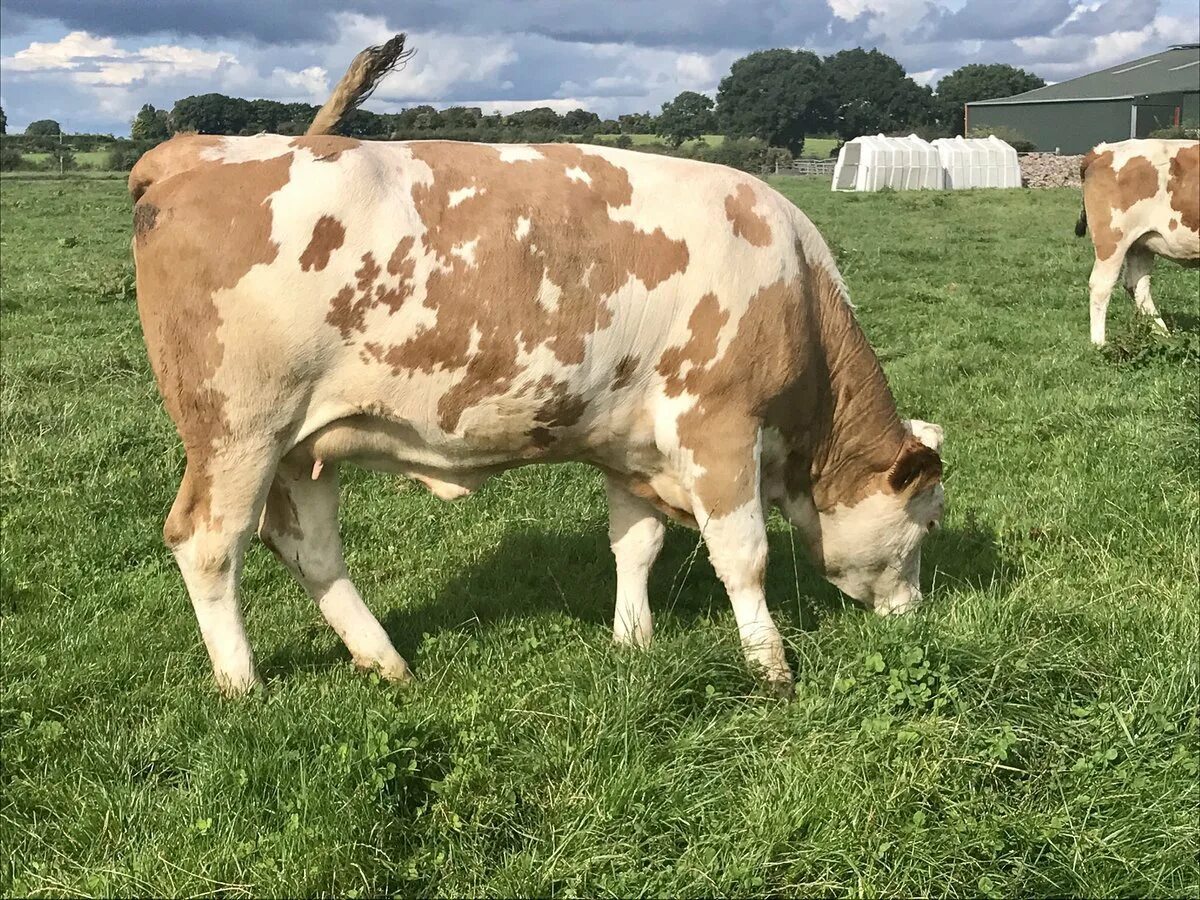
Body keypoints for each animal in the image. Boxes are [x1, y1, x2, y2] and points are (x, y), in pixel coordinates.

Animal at [126, 45, 940, 696]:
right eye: (927, 523)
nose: (915, 616)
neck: (795, 284)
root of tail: (192, 150)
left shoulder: (629, 441)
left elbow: (635, 545)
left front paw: (633, 640)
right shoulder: (717, 425)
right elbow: (745, 558)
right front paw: (771, 668)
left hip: (304, 444)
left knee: (308, 546)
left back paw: (385, 659)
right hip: (238, 431)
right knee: (208, 543)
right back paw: (243, 683)